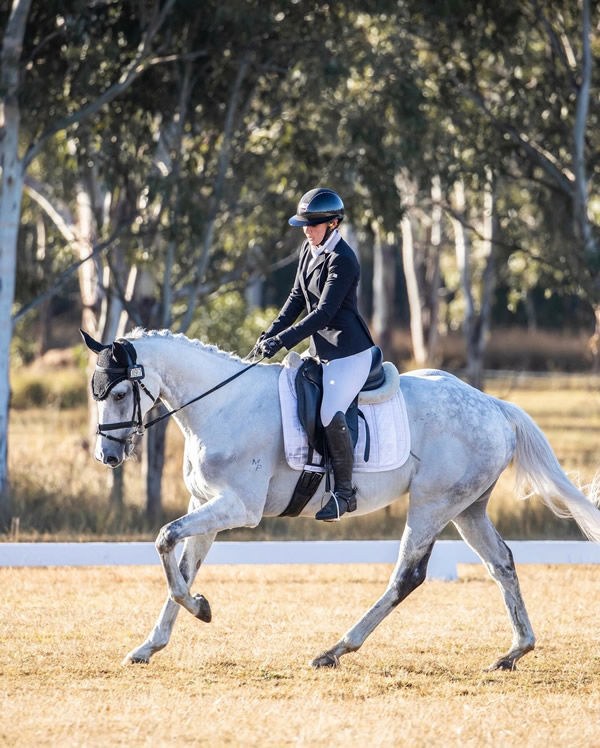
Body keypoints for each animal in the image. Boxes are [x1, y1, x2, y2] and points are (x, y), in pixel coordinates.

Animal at [82, 330, 600, 668]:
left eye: (122, 391)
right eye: (97, 393)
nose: (108, 456)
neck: (221, 406)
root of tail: (495, 405)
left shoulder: (238, 509)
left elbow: (164, 539)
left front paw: (200, 609)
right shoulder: (204, 506)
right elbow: (182, 567)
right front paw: (153, 643)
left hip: (432, 504)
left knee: (407, 576)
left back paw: (335, 650)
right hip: (467, 509)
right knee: (502, 563)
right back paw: (515, 651)